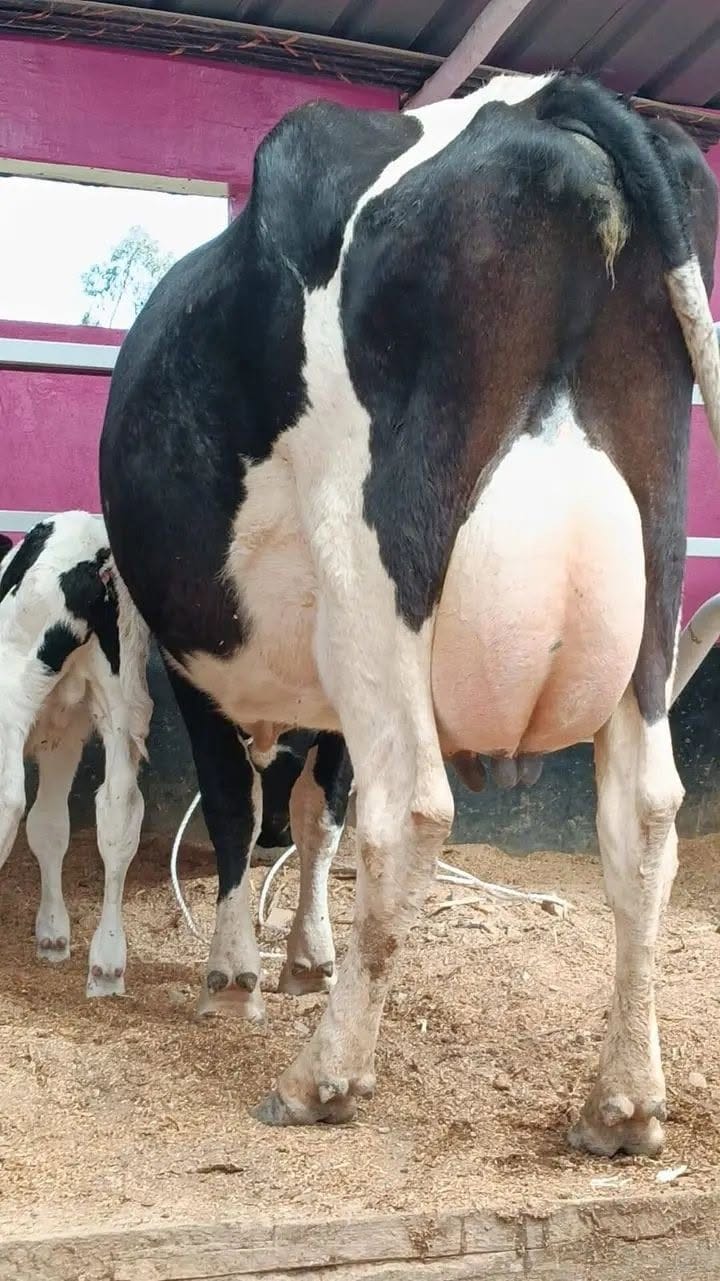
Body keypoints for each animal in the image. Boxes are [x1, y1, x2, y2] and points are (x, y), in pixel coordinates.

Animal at [0, 512, 152, 995]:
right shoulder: (60, 733)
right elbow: (50, 827)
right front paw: (52, 933)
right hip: (114, 705)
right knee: (116, 815)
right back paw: (103, 961)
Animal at [99, 71, 720, 1157]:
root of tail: (540, 104)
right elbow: (315, 814)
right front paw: (304, 953)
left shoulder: (192, 664)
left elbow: (238, 809)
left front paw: (235, 970)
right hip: (653, 562)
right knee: (644, 819)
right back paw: (624, 1103)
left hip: (374, 564)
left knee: (410, 809)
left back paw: (323, 1078)